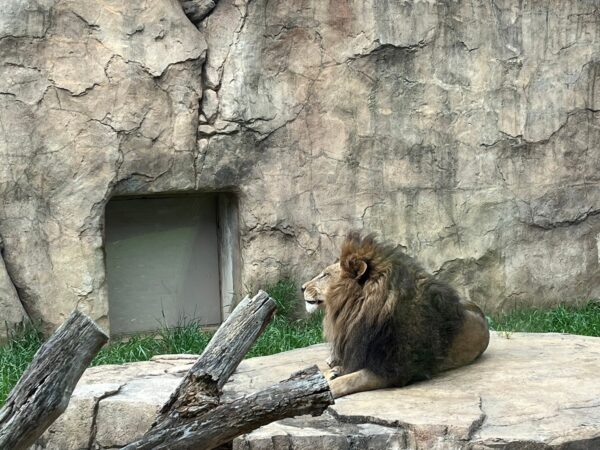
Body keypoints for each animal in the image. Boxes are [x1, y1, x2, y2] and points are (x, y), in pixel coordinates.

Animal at [302, 232, 490, 398]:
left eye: (325, 275)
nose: (302, 287)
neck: (356, 313)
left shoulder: (395, 370)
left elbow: (350, 380)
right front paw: (332, 372)